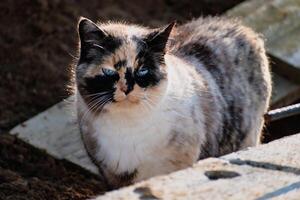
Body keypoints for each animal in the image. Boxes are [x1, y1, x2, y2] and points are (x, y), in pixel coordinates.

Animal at [74, 16, 272, 188]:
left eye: (143, 70)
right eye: (108, 71)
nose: (127, 88)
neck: (126, 127)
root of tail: (240, 27)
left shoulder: (174, 166)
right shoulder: (112, 175)